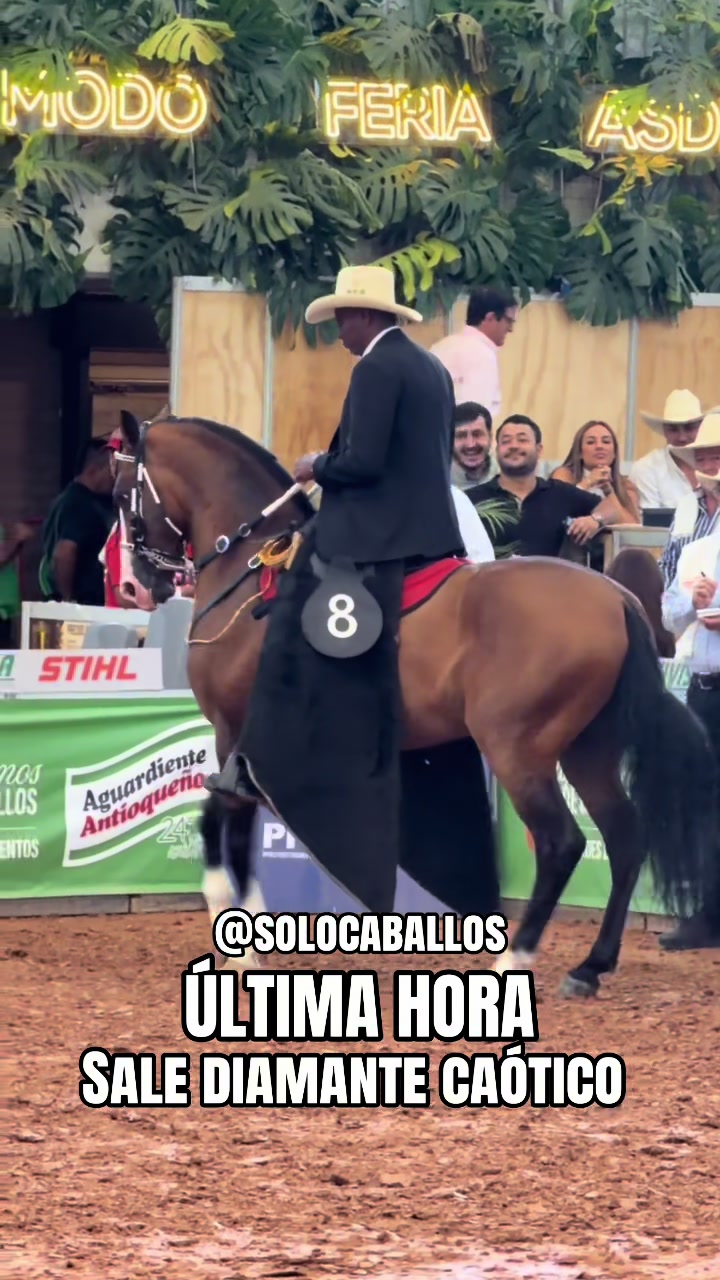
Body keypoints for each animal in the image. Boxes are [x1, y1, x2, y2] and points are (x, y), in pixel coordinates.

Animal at [113, 411, 715, 998]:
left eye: (122, 493)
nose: (135, 586)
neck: (255, 570)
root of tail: (615, 598)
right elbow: (235, 824)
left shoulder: (234, 731)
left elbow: (220, 819)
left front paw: (235, 928)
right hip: (586, 751)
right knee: (624, 836)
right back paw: (592, 965)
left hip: (518, 750)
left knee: (561, 843)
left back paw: (514, 959)